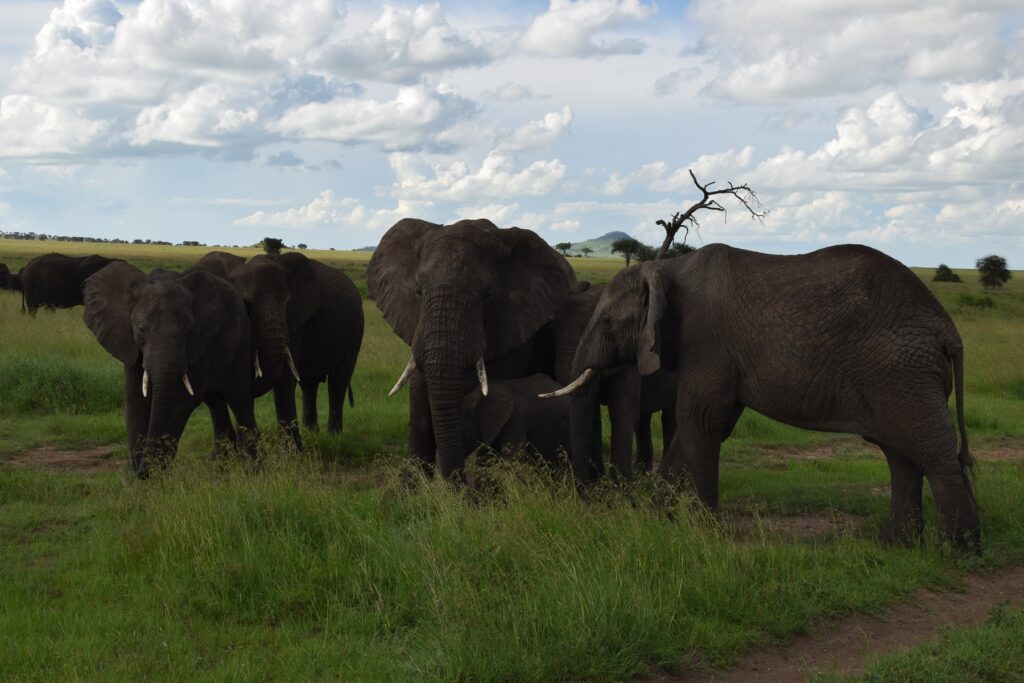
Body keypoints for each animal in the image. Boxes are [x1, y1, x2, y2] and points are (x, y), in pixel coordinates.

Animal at [82, 262, 258, 478]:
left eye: (189, 331)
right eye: (140, 328)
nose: (142, 471)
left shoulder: (200, 343)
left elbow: (182, 400)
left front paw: (153, 474)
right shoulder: (128, 342)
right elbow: (134, 398)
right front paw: (134, 477)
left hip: (241, 343)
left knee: (240, 399)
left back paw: (255, 468)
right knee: (216, 402)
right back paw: (220, 466)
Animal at [193, 250, 364, 447]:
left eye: (287, 301)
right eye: (246, 303)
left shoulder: (295, 321)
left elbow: (284, 378)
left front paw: (292, 451)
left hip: (355, 331)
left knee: (338, 381)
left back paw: (333, 437)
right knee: (309, 384)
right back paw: (312, 433)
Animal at [548, 283, 677, 478]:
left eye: (607, 327)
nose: (579, 484)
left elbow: (622, 410)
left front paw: (619, 483)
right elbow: (592, 410)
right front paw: (599, 481)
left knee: (670, 416)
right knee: (644, 417)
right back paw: (642, 473)